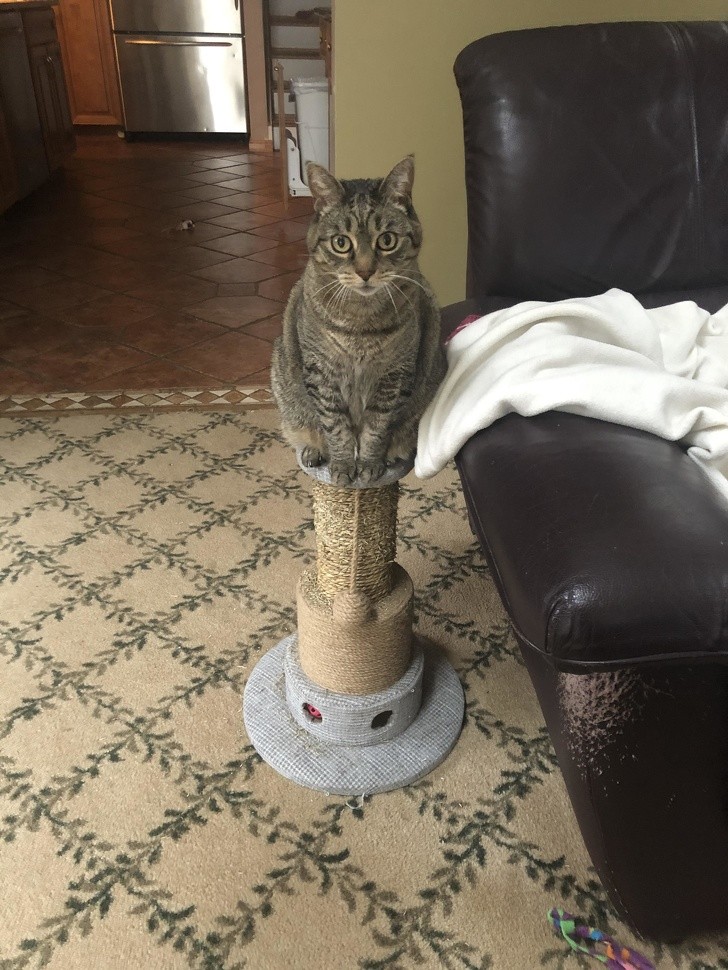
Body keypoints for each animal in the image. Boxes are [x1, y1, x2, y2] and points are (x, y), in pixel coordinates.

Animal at [270, 155, 446, 484]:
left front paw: (369, 465)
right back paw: (314, 452)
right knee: (304, 428)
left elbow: (376, 428)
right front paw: (341, 466)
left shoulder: (394, 375)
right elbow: (335, 426)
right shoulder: (321, 372)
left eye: (387, 240)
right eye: (341, 243)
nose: (365, 271)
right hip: (284, 380)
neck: (360, 323)